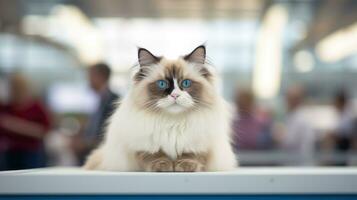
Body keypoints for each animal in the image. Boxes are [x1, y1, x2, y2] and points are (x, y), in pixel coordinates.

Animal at [84, 45, 236, 172]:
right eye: (162, 84)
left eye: (186, 83)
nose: (175, 95)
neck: (173, 122)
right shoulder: (142, 145)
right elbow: (156, 155)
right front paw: (164, 166)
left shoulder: (200, 143)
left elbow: (190, 154)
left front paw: (185, 166)